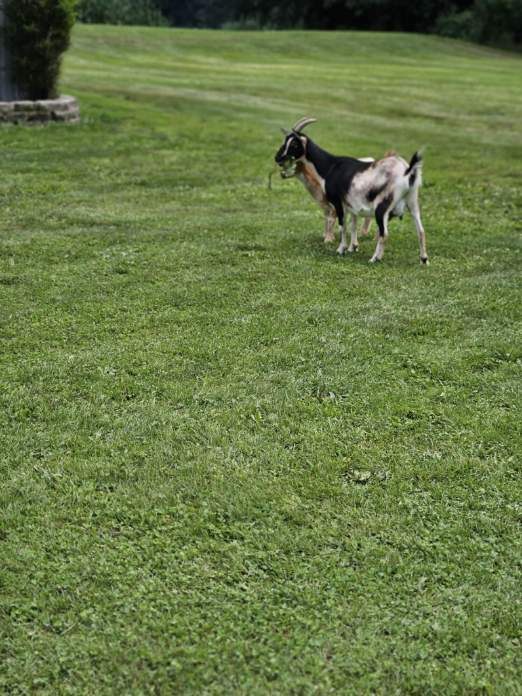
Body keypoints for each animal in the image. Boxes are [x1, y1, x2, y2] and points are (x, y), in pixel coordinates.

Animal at [275, 117, 428, 264]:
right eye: (285, 140)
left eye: (294, 144)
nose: (278, 158)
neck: (331, 166)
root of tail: (407, 171)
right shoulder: (350, 205)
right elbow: (352, 225)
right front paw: (352, 248)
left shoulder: (337, 202)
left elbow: (342, 225)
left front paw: (340, 249)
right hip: (413, 202)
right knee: (420, 230)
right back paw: (424, 259)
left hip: (382, 206)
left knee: (384, 233)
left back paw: (374, 259)